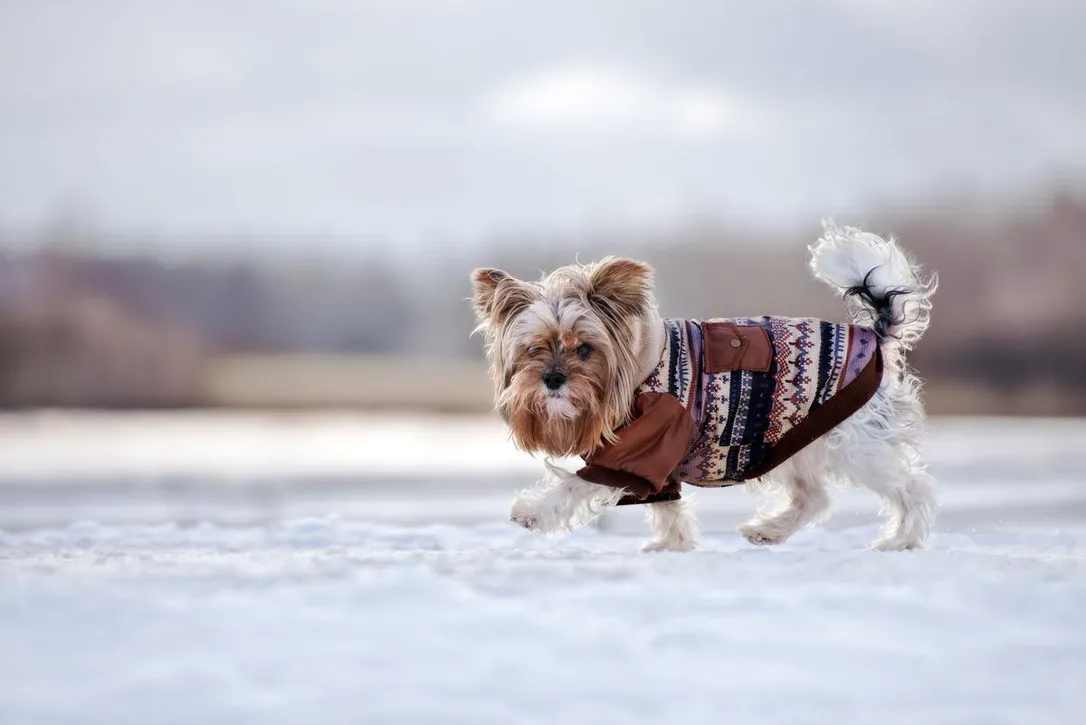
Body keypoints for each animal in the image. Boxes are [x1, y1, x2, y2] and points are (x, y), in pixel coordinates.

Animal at [471, 221, 938, 549]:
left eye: (584, 349)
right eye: (534, 349)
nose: (552, 378)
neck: (639, 366)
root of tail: (876, 336)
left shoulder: (645, 441)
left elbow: (576, 483)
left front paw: (533, 512)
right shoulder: (657, 454)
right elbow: (666, 503)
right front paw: (672, 545)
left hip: (858, 445)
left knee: (911, 487)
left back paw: (902, 540)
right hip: (794, 438)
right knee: (814, 497)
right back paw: (769, 532)